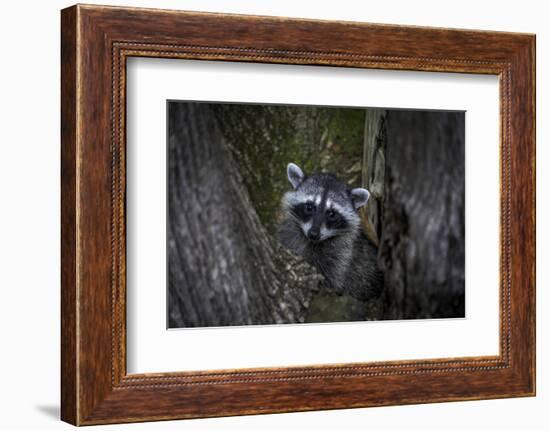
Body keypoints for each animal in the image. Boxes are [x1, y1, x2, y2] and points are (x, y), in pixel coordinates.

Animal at [280, 164, 384, 302]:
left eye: (331, 213)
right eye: (309, 207)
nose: (313, 234)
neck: (313, 242)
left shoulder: (342, 256)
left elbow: (334, 278)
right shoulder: (290, 235)